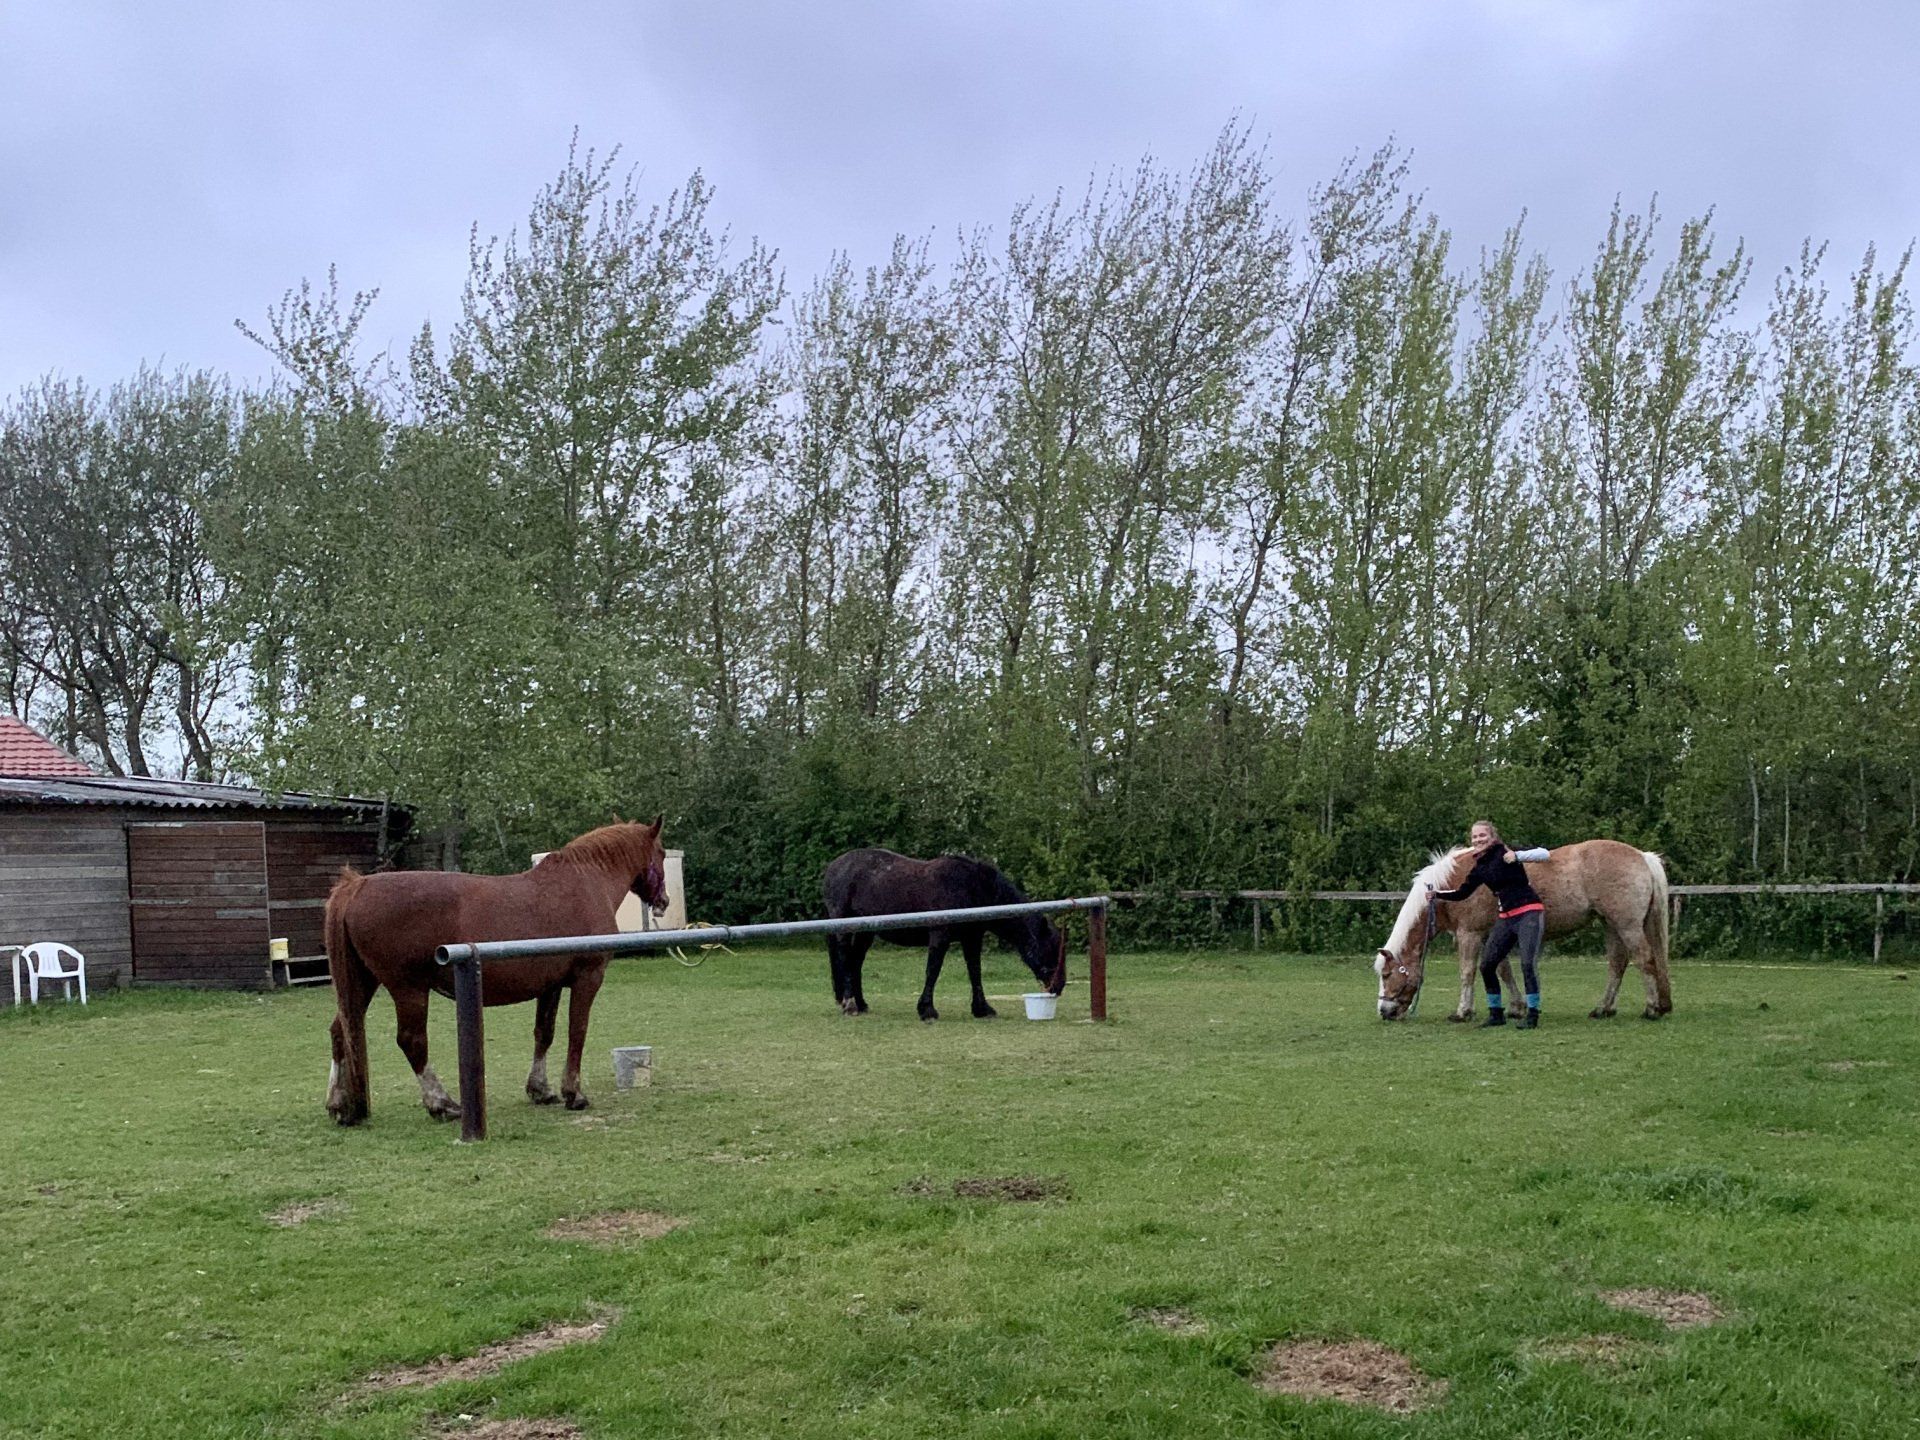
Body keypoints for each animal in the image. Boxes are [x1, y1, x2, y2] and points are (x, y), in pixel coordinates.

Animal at [322, 818, 668, 1125]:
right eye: (662, 853)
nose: (663, 900)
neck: (585, 882)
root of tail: (358, 886)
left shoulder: (551, 986)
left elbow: (544, 1033)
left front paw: (540, 1090)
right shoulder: (587, 978)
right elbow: (576, 1032)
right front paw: (574, 1094)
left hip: (362, 984)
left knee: (341, 1031)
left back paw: (339, 1105)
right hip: (408, 989)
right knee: (412, 1041)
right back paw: (442, 1104)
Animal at [821, 848, 1068, 1021]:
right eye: (1051, 949)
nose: (1059, 986)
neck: (972, 888)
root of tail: (833, 867)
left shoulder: (972, 938)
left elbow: (975, 972)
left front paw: (982, 1009)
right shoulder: (940, 936)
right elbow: (933, 970)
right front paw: (927, 1010)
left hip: (867, 932)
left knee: (855, 962)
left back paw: (861, 1004)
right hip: (845, 927)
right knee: (845, 958)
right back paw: (850, 1004)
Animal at [1373, 839, 1672, 1022]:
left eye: (1387, 975)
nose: (1384, 1011)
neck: (1450, 885)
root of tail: (1643, 857)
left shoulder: (1470, 934)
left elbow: (1468, 972)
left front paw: (1462, 1012)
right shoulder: (1491, 935)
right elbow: (1502, 970)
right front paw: (1517, 1008)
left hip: (1627, 926)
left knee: (1645, 960)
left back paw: (1651, 1009)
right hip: (1611, 926)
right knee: (1617, 965)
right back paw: (1603, 1009)